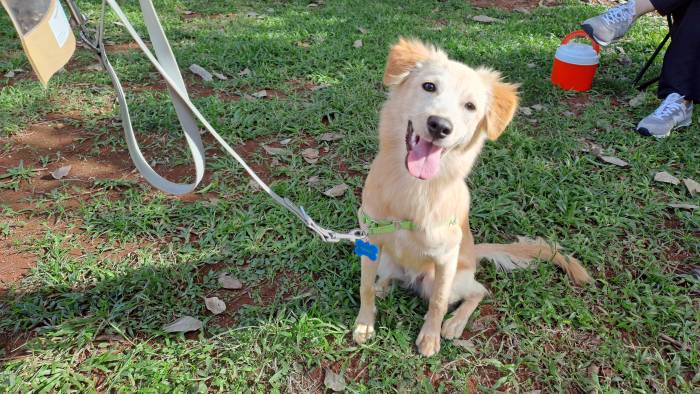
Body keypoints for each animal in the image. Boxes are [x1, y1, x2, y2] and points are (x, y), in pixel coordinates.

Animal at [356, 39, 592, 358]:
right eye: (429, 86)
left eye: (470, 106)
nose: (440, 126)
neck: (413, 189)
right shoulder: (370, 242)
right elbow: (365, 287)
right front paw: (364, 324)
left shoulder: (445, 258)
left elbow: (438, 302)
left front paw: (431, 337)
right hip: (387, 260)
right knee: (391, 276)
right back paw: (386, 285)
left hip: (445, 275)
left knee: (478, 291)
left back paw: (455, 322)